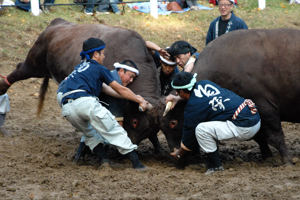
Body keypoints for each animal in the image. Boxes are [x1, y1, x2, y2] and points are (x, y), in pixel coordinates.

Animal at [0, 17, 164, 152]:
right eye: (135, 121)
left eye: (153, 129)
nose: (132, 143)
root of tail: (56, 23)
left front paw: (159, 149)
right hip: (34, 64)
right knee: (18, 70)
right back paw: (2, 88)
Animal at [161, 28, 300, 166]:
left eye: (173, 122)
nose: (174, 152)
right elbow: (260, 137)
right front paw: (267, 156)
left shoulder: (265, 108)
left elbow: (275, 136)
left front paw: (287, 160)